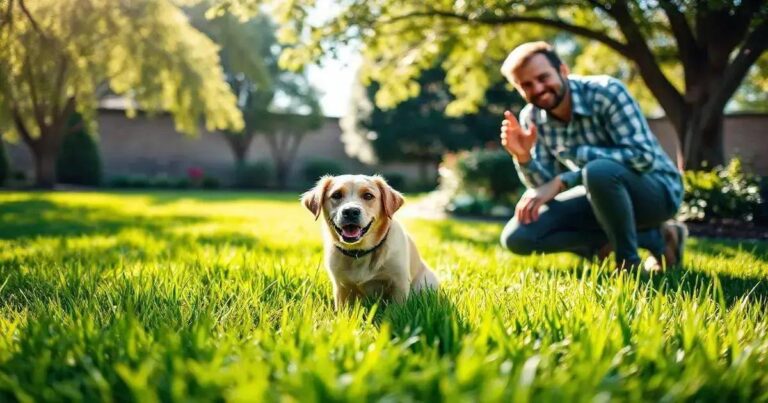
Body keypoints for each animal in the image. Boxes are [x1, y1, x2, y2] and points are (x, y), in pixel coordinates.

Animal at [302, 174, 438, 310]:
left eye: (368, 196)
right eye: (336, 195)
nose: (350, 211)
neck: (359, 251)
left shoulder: (399, 282)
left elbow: (396, 310)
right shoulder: (341, 286)